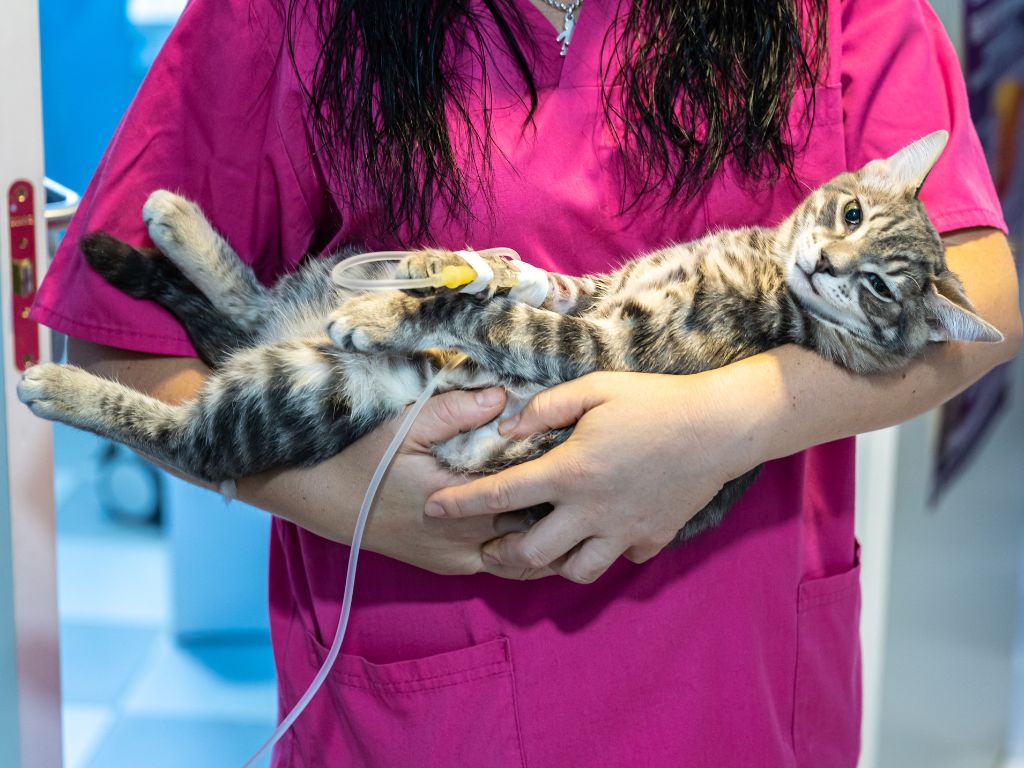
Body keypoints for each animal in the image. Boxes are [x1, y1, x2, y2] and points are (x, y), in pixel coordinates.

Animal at [16, 131, 1003, 540]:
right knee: (253, 305)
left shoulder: (610, 349)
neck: (762, 268)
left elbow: (501, 318)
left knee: (191, 439)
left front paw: (394, 311)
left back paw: (53, 385)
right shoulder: (600, 290)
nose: (828, 263)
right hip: (304, 310)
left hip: (309, 390)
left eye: (881, 288)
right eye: (849, 212)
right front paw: (462, 267)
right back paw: (173, 218)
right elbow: (536, 282)